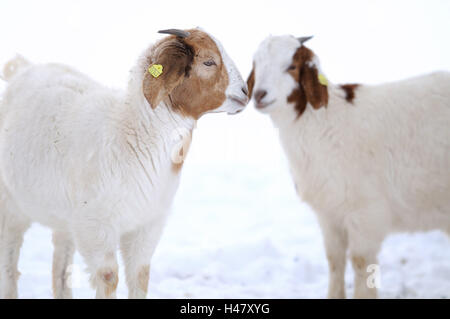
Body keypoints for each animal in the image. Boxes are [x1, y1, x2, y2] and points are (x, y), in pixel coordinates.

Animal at [0, 28, 250, 300]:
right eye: (208, 61)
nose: (245, 92)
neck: (129, 132)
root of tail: (23, 67)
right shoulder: (96, 227)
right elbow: (109, 277)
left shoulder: (146, 225)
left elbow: (139, 276)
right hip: (11, 209)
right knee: (10, 267)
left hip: (65, 220)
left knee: (61, 270)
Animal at [246, 35, 450, 300]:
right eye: (256, 64)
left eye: (291, 66)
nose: (260, 94)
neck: (324, 122)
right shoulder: (329, 214)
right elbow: (334, 259)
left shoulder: (366, 212)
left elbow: (361, 262)